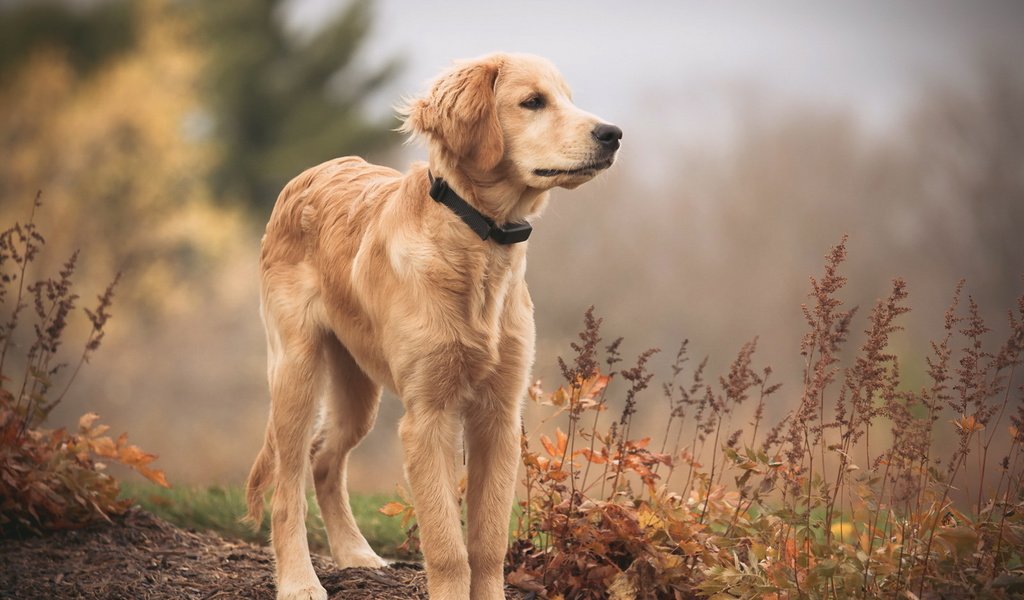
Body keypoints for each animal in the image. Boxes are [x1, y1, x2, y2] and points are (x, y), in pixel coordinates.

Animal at [243, 52, 618, 597]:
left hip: (358, 391)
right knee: (288, 484)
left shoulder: (499, 415)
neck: (479, 242)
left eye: (568, 98)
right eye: (533, 102)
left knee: (324, 459)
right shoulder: (428, 417)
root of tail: (312, 172)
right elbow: (446, 546)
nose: (613, 134)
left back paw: (355, 553)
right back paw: (298, 580)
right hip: (296, 369)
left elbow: (487, 543)